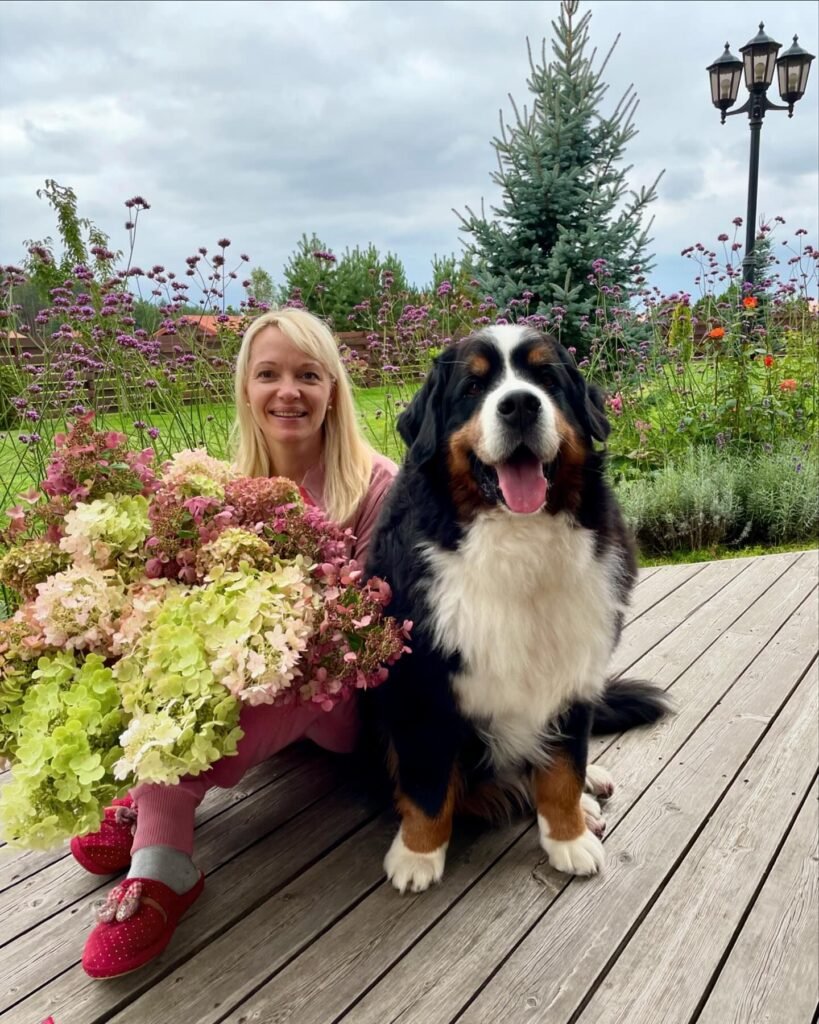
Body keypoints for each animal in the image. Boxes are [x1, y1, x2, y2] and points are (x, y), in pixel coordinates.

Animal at [368, 323, 667, 892]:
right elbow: (427, 782)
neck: (517, 542)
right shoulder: (422, 687)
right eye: (473, 387)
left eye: (546, 378)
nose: (521, 405)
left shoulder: (574, 668)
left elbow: (563, 770)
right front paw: (417, 855)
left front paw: (569, 838)